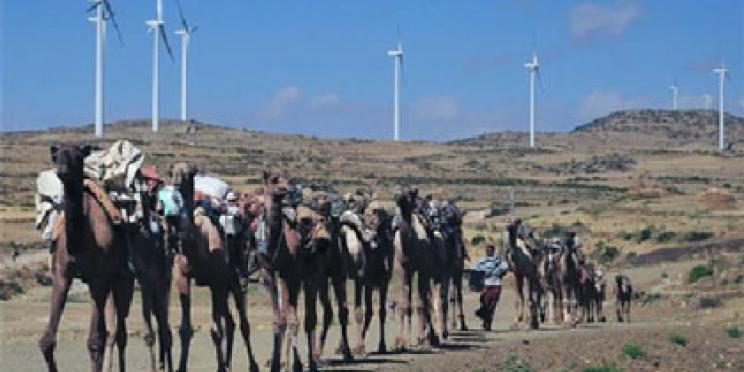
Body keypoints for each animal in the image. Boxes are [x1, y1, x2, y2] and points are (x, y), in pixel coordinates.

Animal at [39, 145, 136, 372]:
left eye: (78, 154)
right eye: (57, 155)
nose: (62, 170)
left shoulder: (98, 279)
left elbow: (94, 341)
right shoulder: (61, 275)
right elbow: (47, 341)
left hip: (123, 281)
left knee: (120, 334)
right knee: (110, 332)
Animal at [170, 164, 260, 372]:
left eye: (189, 173)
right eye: (171, 172)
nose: (176, 184)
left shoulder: (216, 282)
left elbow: (216, 331)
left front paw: (220, 366)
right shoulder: (182, 277)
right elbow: (185, 329)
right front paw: (181, 367)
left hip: (234, 279)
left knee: (242, 322)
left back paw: (252, 364)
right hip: (224, 286)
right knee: (230, 321)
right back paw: (227, 363)